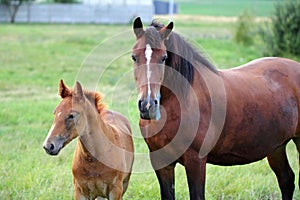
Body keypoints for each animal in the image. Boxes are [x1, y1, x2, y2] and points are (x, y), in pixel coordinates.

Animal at [132, 17, 300, 200]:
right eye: (134, 57)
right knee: (286, 179)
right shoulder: (161, 161)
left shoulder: (196, 161)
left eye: (164, 57)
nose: (147, 105)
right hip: (276, 147)